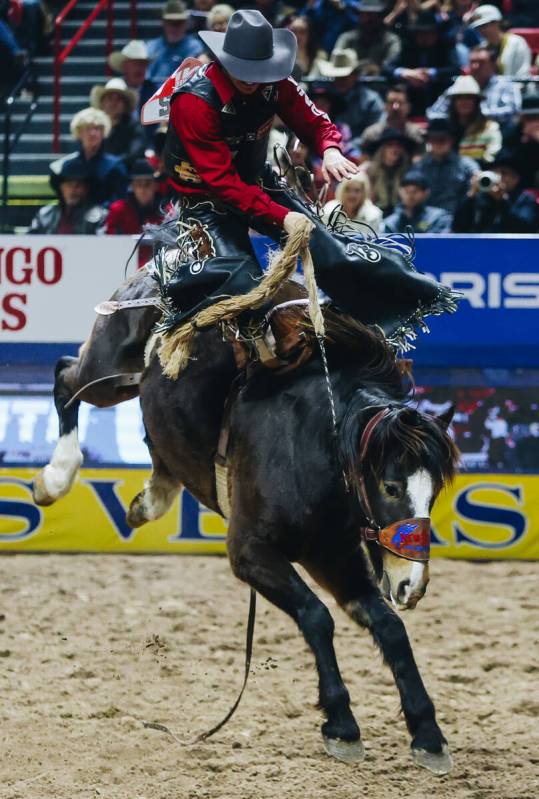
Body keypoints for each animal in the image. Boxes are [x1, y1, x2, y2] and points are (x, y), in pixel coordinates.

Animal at [32, 173, 460, 776]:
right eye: (392, 486)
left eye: (436, 492)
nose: (412, 584)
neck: (313, 449)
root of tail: (163, 261)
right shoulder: (252, 554)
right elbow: (316, 617)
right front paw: (341, 724)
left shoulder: (334, 556)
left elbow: (388, 628)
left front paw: (427, 733)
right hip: (109, 370)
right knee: (66, 378)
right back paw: (55, 477)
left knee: (153, 442)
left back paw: (150, 498)